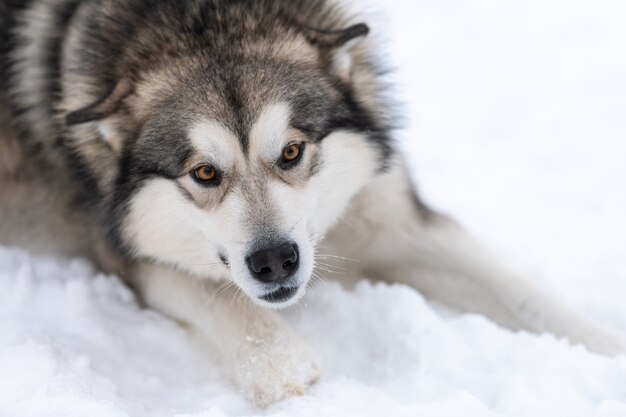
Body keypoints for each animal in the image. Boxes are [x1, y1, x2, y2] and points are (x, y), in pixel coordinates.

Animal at [1, 0, 624, 406]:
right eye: (205, 173)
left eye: (292, 151)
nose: (274, 261)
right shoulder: (129, 253)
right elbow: (246, 324)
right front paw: (287, 371)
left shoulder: (398, 220)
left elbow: (531, 302)